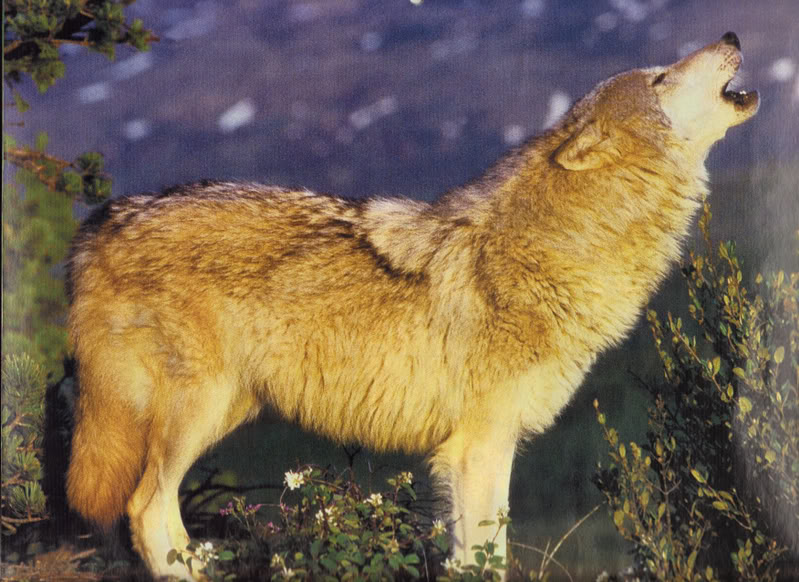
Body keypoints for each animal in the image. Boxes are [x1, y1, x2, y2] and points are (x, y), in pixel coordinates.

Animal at [66, 32, 758, 579]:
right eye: (661, 77)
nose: (731, 33)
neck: (556, 244)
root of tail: (102, 223)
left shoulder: (475, 449)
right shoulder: (480, 444)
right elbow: (486, 559)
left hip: (227, 408)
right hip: (194, 412)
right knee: (146, 512)